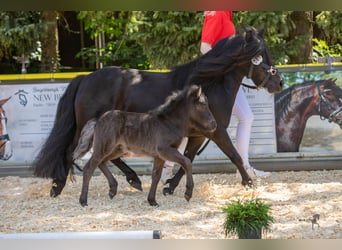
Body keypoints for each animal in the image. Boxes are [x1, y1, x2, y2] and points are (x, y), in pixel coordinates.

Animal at [32, 26, 284, 197]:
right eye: (261, 55)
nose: (279, 82)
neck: (211, 85)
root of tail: (85, 78)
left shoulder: (198, 134)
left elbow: (187, 159)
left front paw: (169, 186)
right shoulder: (216, 131)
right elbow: (234, 155)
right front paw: (249, 183)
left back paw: (132, 180)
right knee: (72, 152)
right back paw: (58, 186)